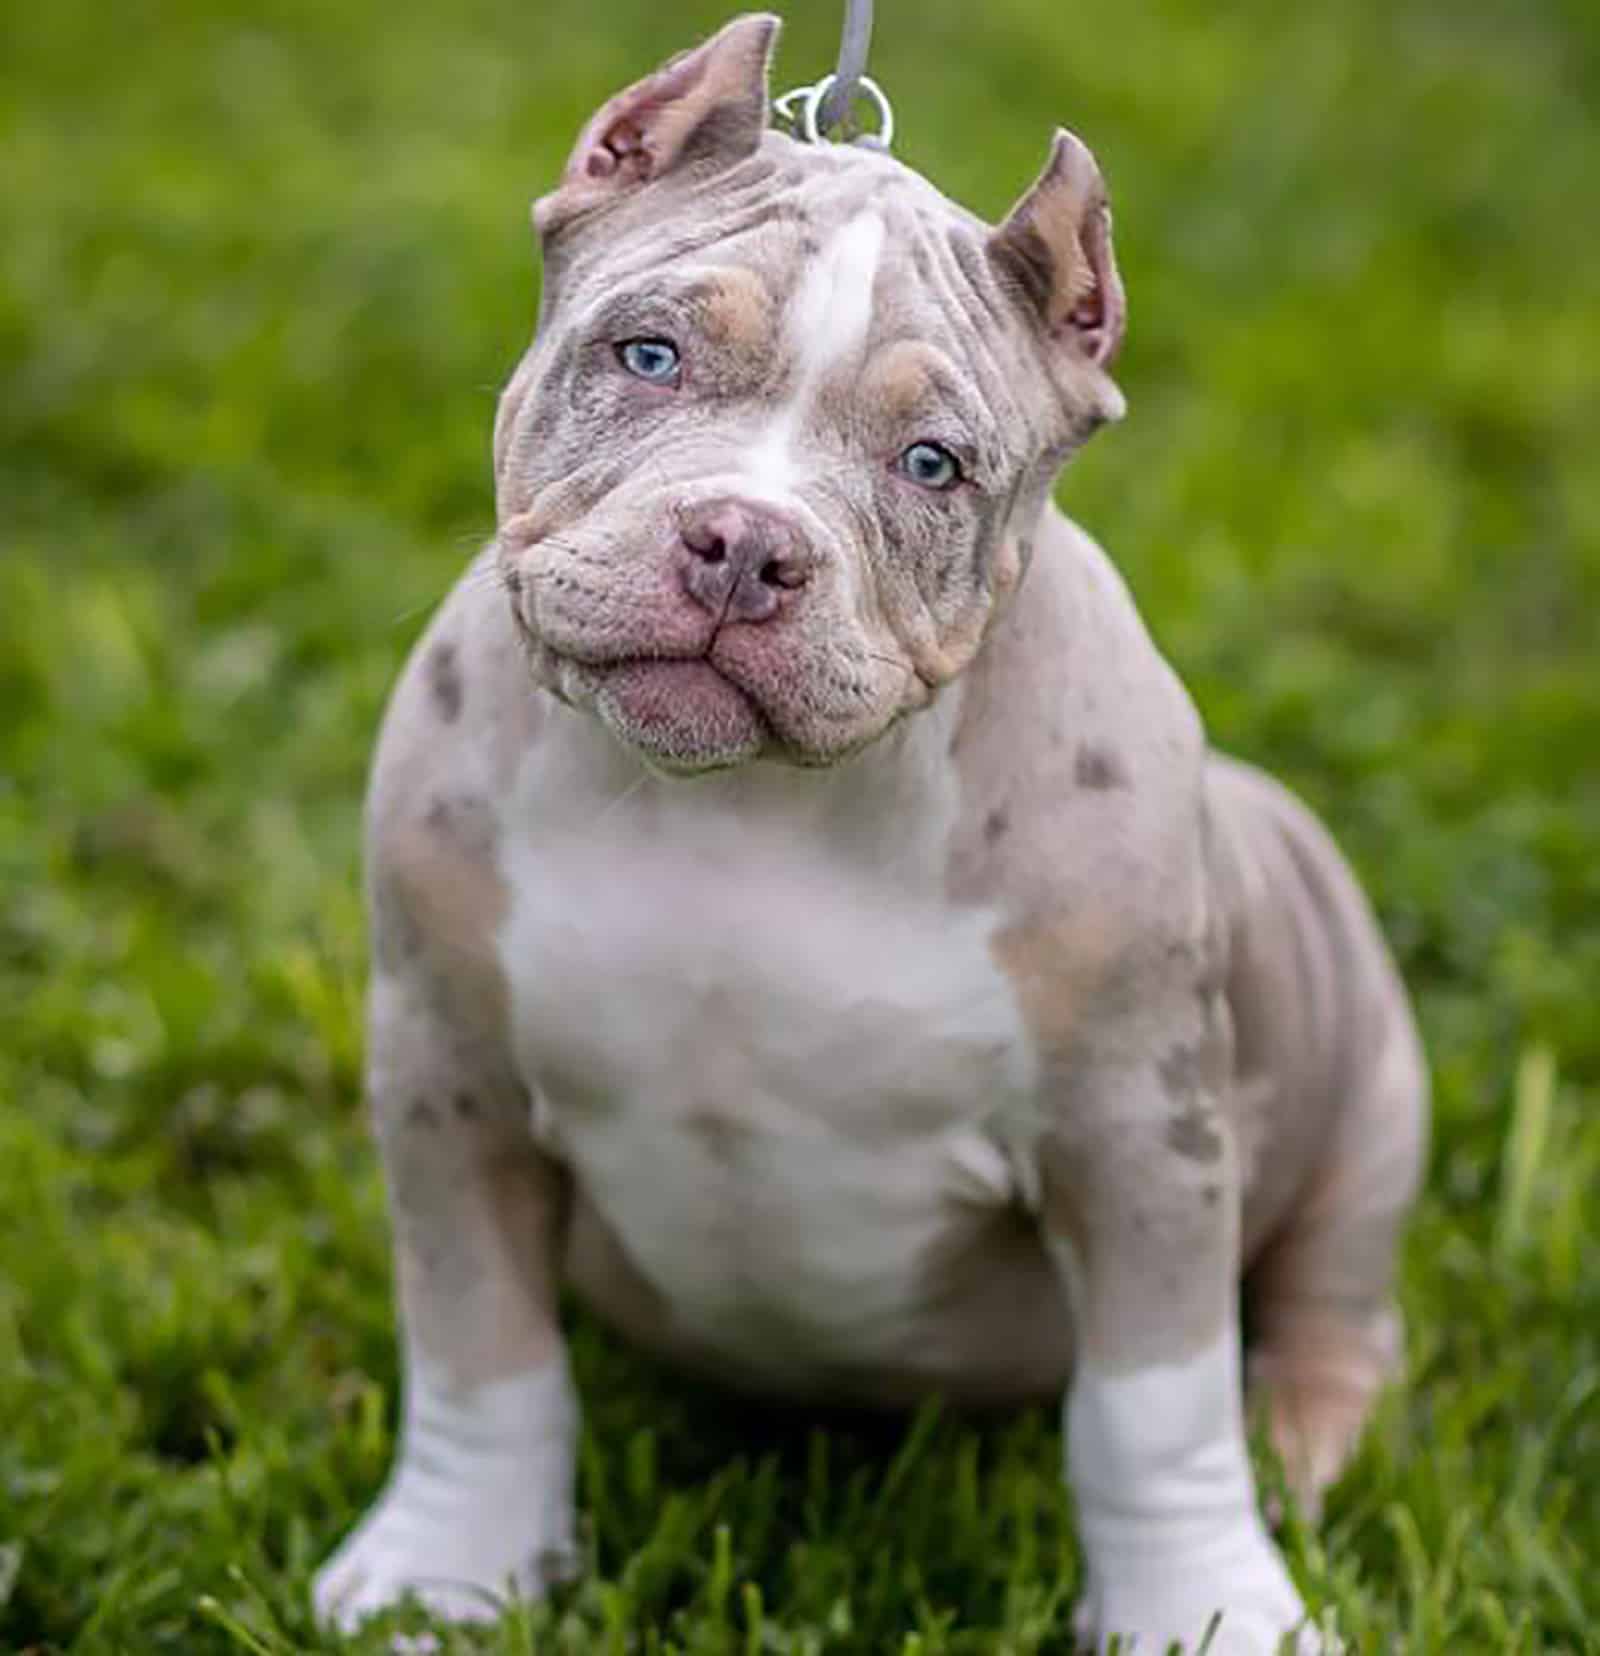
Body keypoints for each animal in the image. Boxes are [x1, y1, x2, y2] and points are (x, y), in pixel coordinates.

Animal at [313, 19, 1431, 1649]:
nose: (743, 547)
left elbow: (1153, 1411)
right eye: (648, 357)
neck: (746, 802)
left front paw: (1206, 1610)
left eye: (932, 465)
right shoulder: (447, 1074)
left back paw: (1299, 1444)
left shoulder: (1138, 1130)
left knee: (1332, 1305)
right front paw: (444, 1574)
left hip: (1368, 1090)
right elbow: (481, 1347)